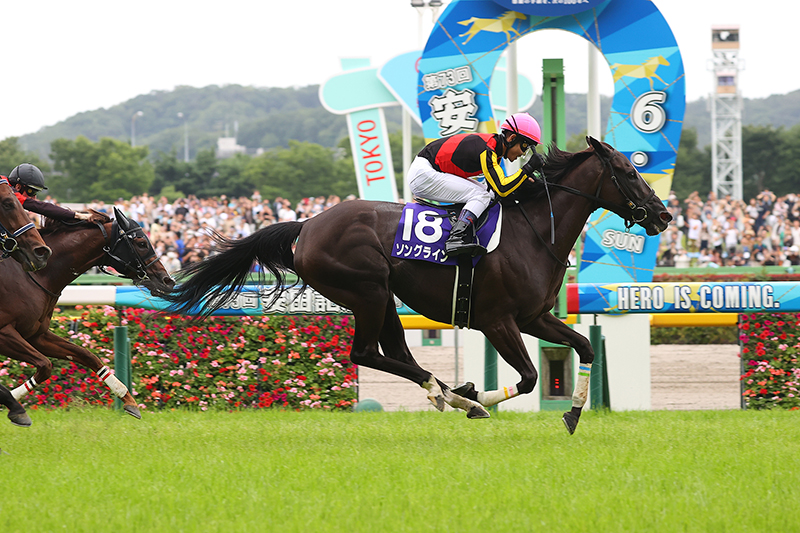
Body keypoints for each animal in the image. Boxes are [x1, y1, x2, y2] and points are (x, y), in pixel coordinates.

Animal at [0, 206, 174, 426]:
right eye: (142, 243)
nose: (168, 281)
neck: (35, 275)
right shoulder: (5, 333)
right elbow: (46, 365)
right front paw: (14, 403)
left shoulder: (35, 334)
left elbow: (86, 355)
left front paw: (128, 399)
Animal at [166, 137, 672, 432]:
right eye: (629, 173)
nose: (664, 215)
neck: (533, 234)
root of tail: (308, 225)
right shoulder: (497, 320)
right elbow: (529, 378)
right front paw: (482, 398)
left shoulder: (535, 316)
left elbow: (583, 348)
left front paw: (572, 412)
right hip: (366, 290)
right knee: (366, 353)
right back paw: (455, 395)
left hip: (384, 295)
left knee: (397, 352)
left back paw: (448, 392)